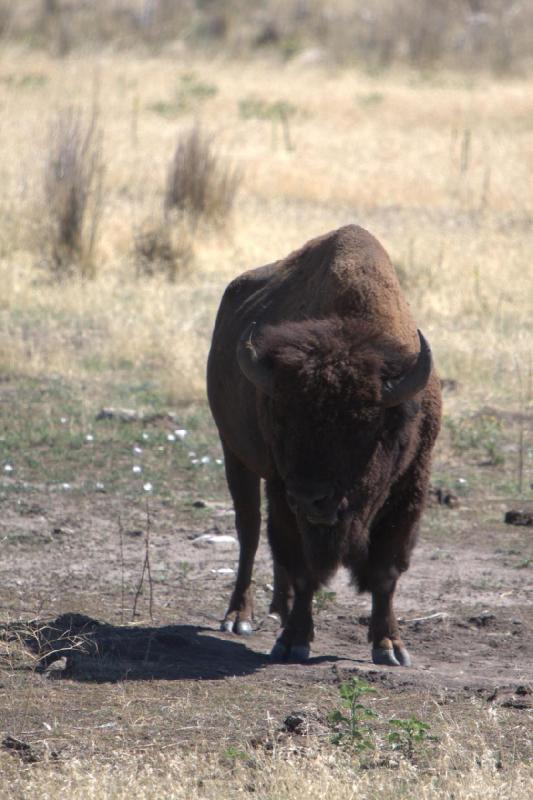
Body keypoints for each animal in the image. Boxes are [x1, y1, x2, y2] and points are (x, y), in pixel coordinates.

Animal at [208, 223, 440, 664]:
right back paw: (239, 617)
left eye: (363, 427)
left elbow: (386, 572)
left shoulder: (410, 487)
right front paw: (294, 641)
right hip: (236, 455)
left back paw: (279, 609)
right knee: (250, 531)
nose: (311, 497)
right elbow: (302, 566)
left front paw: (390, 647)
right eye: (282, 419)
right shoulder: (281, 488)